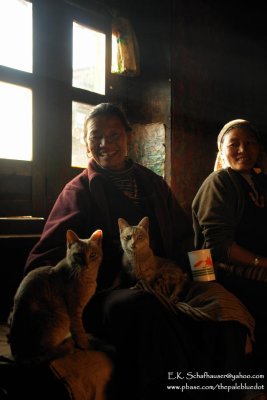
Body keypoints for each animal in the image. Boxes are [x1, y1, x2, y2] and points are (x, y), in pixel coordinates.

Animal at [7, 228, 103, 366]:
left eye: (93, 255)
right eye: (78, 255)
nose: (86, 264)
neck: (87, 278)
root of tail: (19, 355)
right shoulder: (75, 313)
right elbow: (80, 333)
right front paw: (87, 345)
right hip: (60, 317)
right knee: (51, 351)